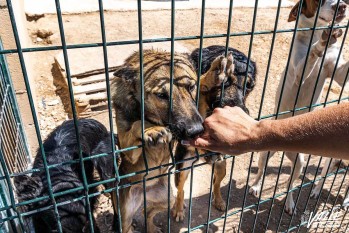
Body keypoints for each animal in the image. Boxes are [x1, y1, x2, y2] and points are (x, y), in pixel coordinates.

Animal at [171, 45, 256, 222]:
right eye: (226, 82)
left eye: (249, 86)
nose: (242, 111)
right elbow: (200, 90)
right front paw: (213, 75)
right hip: (182, 167)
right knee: (181, 189)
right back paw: (179, 208)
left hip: (221, 165)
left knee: (216, 183)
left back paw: (219, 200)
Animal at [249, 0, 346, 215]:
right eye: (318, 1)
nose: (343, 6)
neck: (314, 34)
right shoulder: (299, 74)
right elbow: (311, 55)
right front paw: (322, 42)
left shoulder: (338, 73)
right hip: (264, 155)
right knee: (261, 171)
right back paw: (256, 186)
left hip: (299, 163)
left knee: (289, 185)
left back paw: (289, 203)